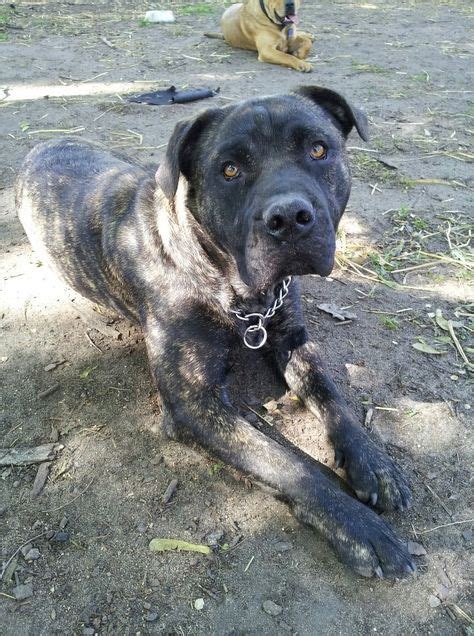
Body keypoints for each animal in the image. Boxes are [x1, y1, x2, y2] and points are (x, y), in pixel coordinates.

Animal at [16, 87, 414, 580]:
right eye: (229, 170)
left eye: (318, 149)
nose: (289, 216)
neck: (235, 289)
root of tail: (43, 144)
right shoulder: (194, 406)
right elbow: (288, 465)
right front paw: (359, 527)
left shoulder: (294, 339)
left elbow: (333, 397)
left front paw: (373, 463)